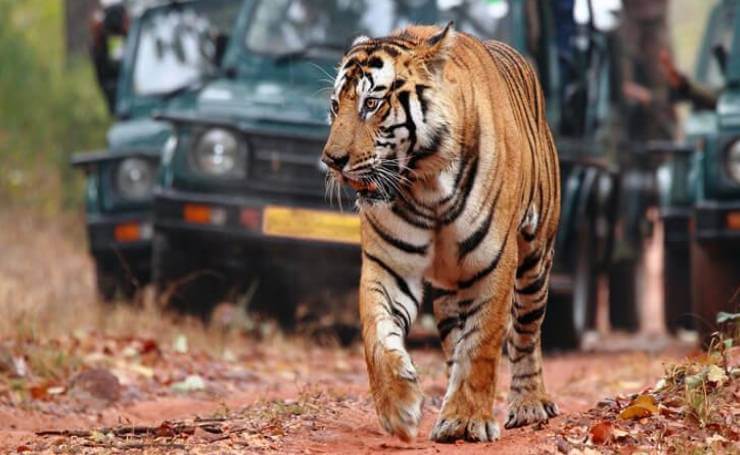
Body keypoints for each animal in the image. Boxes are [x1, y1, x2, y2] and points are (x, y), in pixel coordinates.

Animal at [320, 23, 560, 444]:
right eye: (336, 106)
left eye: (371, 104)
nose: (331, 160)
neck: (425, 184)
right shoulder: (388, 266)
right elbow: (376, 336)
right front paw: (398, 407)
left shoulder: (494, 263)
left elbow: (482, 344)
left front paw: (467, 419)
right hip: (451, 288)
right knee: (454, 341)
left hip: (535, 259)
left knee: (527, 333)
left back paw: (529, 404)